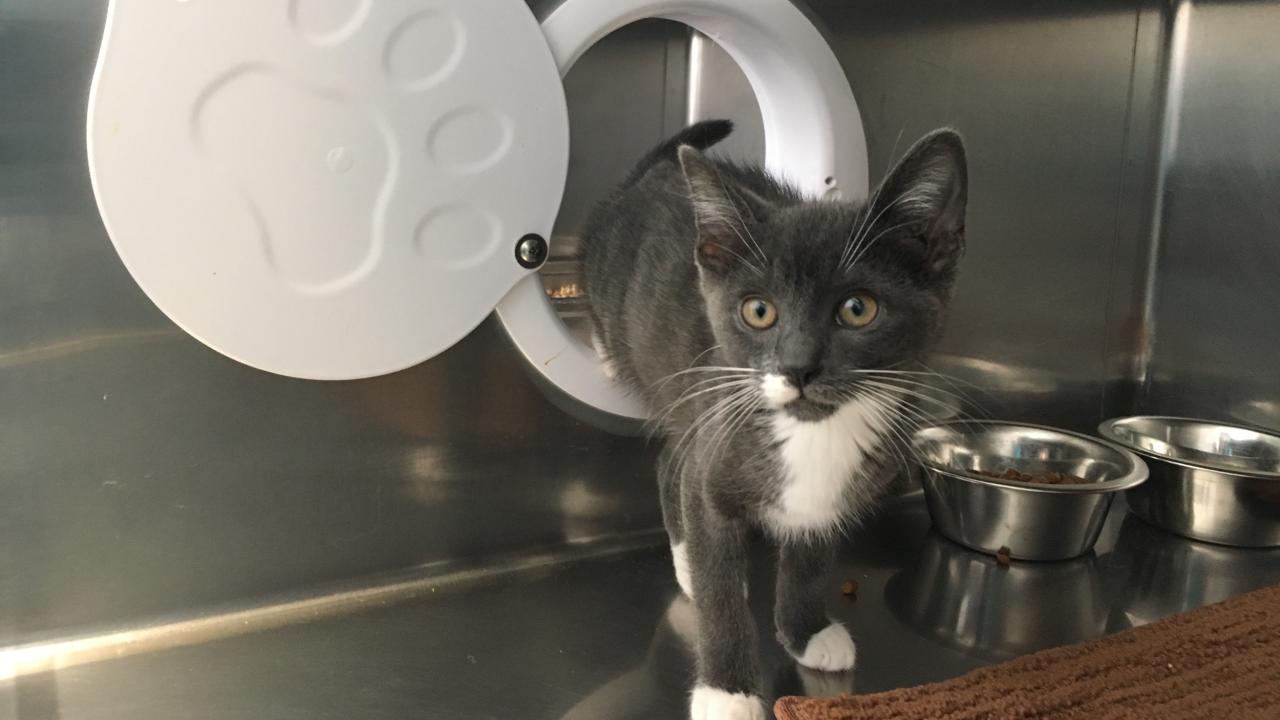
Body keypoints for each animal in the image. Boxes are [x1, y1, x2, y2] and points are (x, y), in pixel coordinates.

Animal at [581, 120, 962, 712]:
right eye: (758, 311)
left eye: (859, 309)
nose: (798, 367)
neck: (815, 432)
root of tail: (653, 173)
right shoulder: (716, 454)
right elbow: (719, 594)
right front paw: (726, 690)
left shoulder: (826, 496)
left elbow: (809, 560)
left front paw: (806, 632)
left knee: (671, 463)